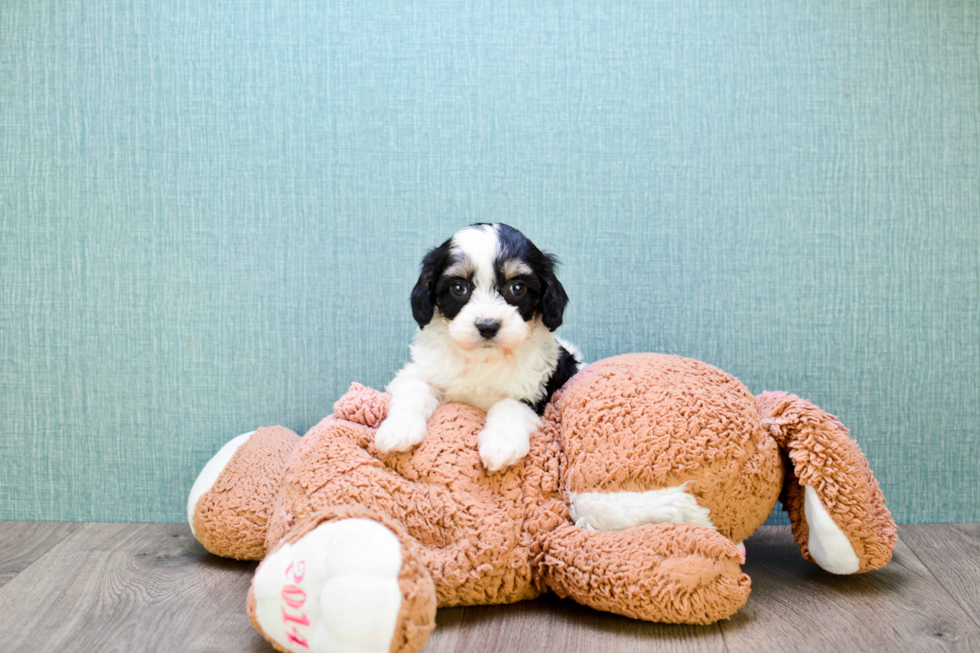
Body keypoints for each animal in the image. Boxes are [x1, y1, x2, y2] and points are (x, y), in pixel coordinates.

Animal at [372, 223, 580, 468]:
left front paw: (501, 444)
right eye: (458, 288)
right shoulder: (421, 371)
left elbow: (509, 406)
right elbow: (415, 388)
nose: (487, 326)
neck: (483, 359)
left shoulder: (535, 389)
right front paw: (399, 429)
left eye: (517, 288)